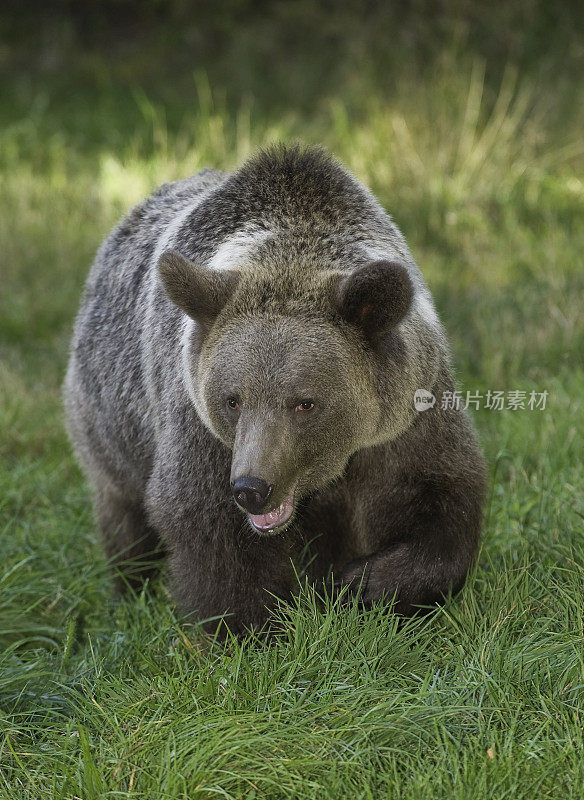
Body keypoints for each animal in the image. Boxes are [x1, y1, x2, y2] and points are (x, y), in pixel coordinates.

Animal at [64, 142, 486, 632]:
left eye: (305, 402)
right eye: (232, 399)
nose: (252, 488)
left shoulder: (407, 420)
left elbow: (441, 507)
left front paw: (362, 584)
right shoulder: (200, 427)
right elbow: (209, 530)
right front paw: (255, 625)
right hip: (110, 419)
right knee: (123, 510)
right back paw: (132, 589)